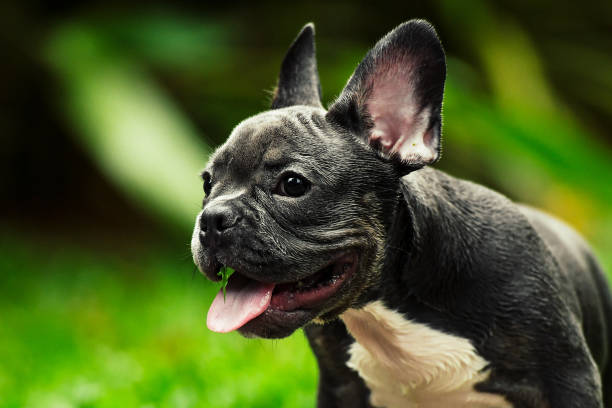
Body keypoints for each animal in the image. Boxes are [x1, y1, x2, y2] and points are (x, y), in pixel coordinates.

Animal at [191, 19, 612, 408]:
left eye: (292, 185)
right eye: (207, 183)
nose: (212, 219)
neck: (388, 305)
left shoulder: (568, 381)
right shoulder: (341, 388)